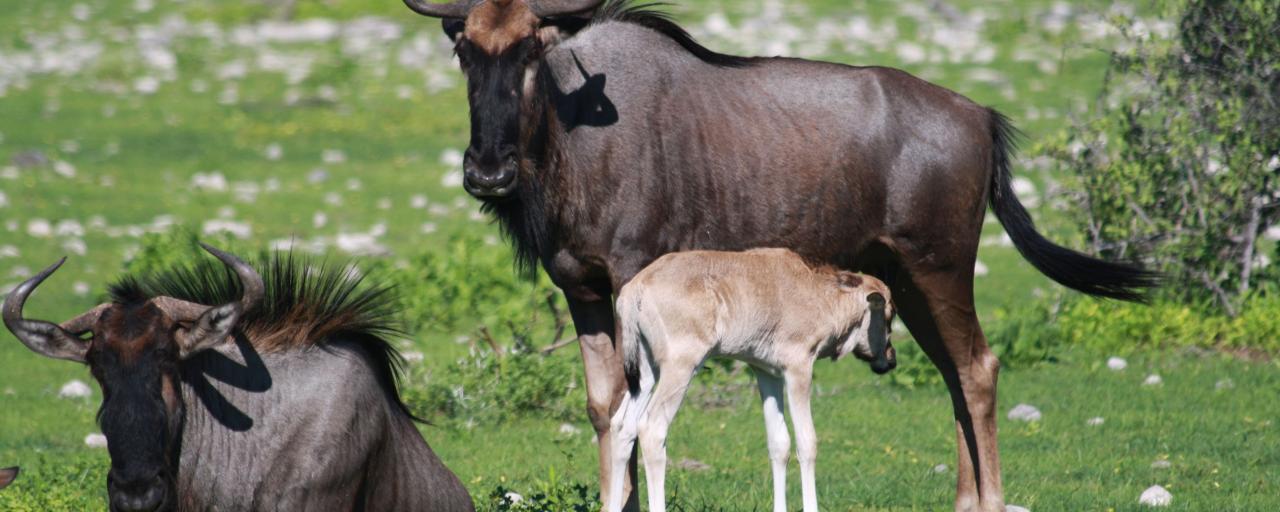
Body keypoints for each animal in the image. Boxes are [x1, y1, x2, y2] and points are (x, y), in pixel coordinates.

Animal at [606, 248, 890, 512]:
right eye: (888, 315)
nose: (889, 359)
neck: (816, 291)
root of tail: (636, 289)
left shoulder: (767, 374)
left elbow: (779, 443)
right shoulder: (798, 369)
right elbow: (807, 442)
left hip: (647, 373)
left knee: (622, 425)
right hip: (680, 368)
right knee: (652, 428)